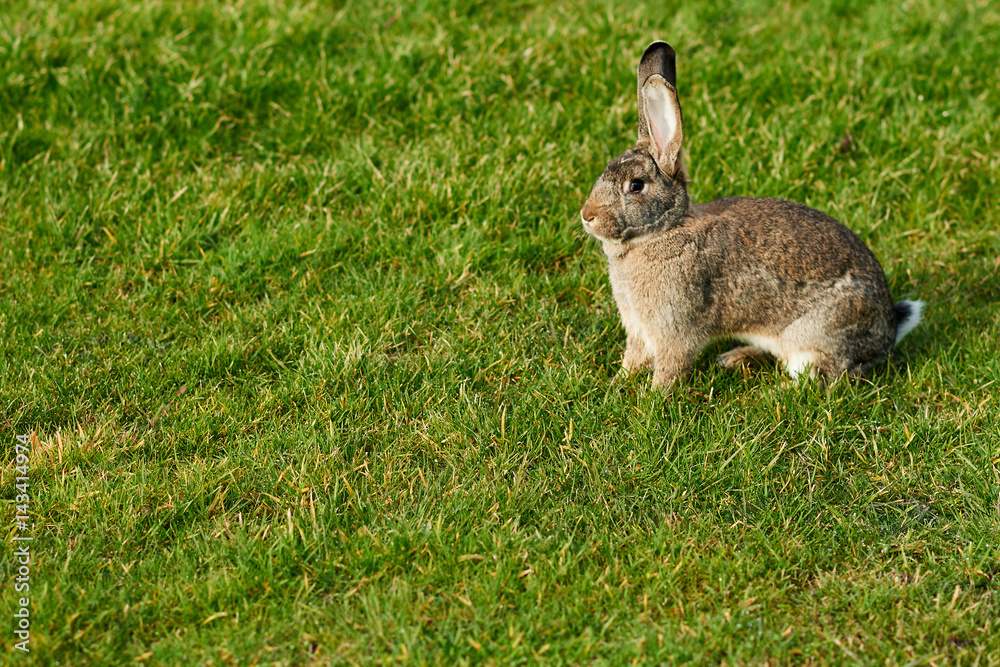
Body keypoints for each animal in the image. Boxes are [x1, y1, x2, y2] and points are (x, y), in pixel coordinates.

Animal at [580, 41, 923, 390]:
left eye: (636, 185)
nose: (586, 215)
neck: (665, 228)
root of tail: (888, 333)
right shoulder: (637, 328)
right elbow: (633, 357)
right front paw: (618, 381)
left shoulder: (674, 329)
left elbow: (671, 366)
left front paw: (653, 395)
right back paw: (735, 358)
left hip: (818, 336)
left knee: (828, 375)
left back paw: (778, 388)